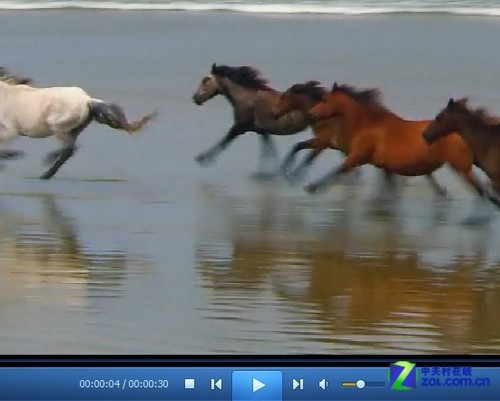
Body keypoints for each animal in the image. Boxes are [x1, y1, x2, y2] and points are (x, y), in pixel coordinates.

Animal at [0, 67, 156, 178]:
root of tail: (88, 100)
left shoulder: (11, 131)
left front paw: (13, 157)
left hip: (58, 128)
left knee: (69, 150)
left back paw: (45, 172)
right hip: (73, 130)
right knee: (71, 149)